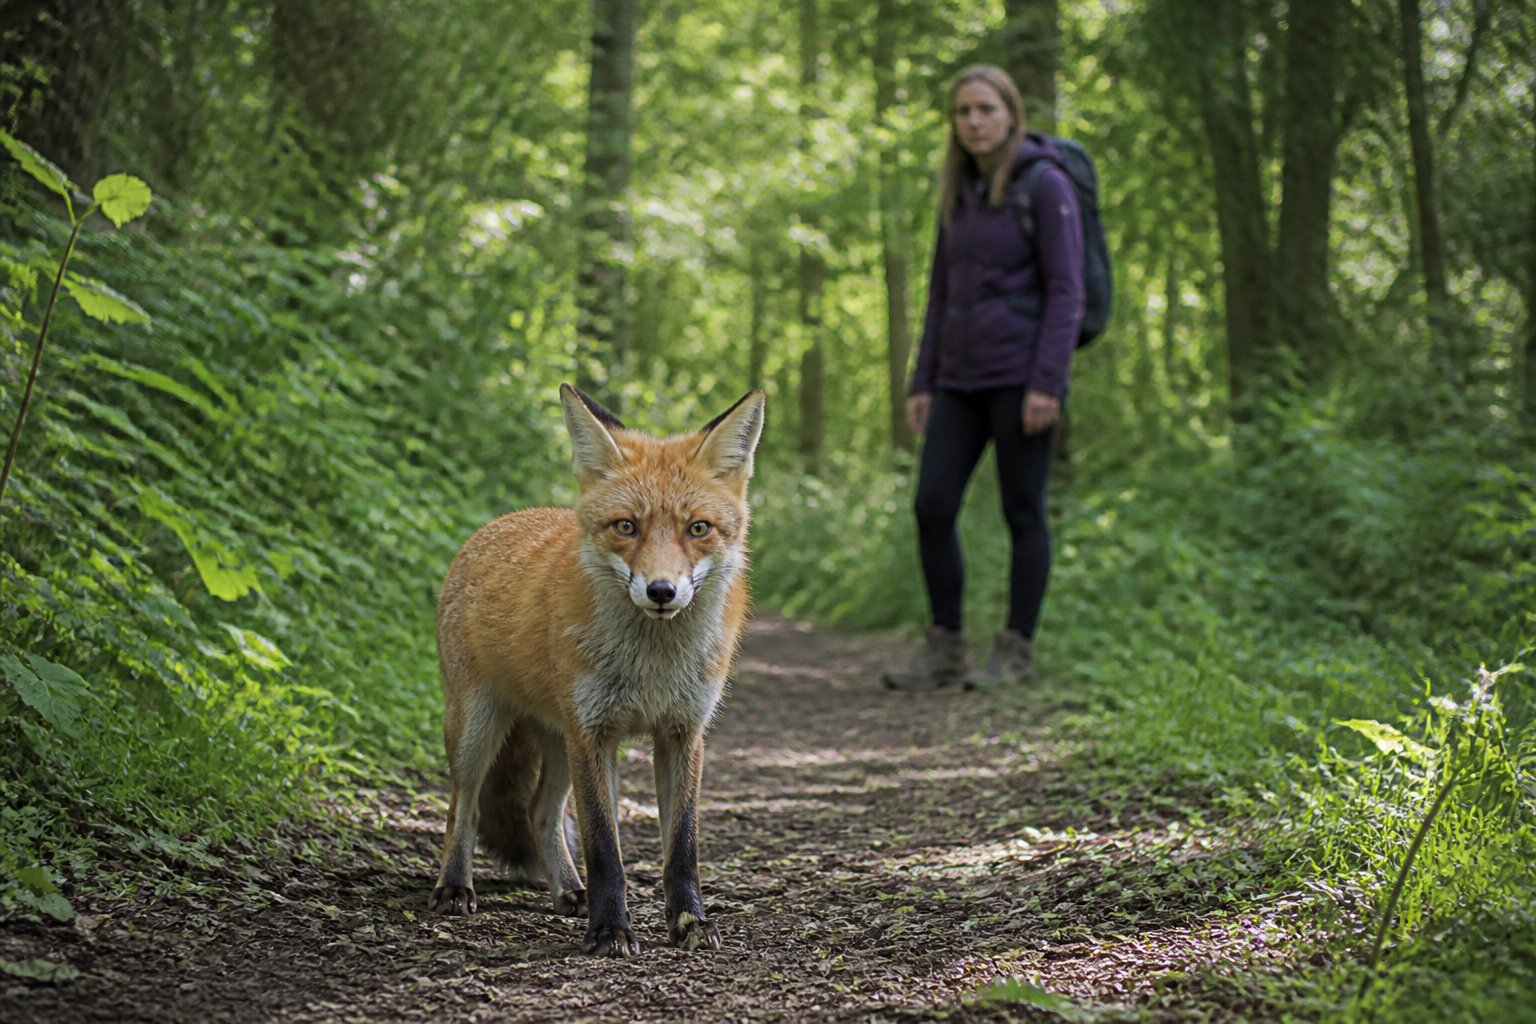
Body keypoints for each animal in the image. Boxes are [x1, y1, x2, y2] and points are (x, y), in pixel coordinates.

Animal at [428, 382, 765, 957]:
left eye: (698, 528)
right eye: (626, 526)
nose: (661, 591)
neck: (652, 667)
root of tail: (502, 520)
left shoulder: (682, 733)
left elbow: (682, 847)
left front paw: (689, 921)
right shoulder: (594, 732)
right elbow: (604, 847)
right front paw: (610, 930)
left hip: (557, 740)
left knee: (541, 814)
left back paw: (569, 891)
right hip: (478, 728)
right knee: (463, 807)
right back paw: (455, 887)